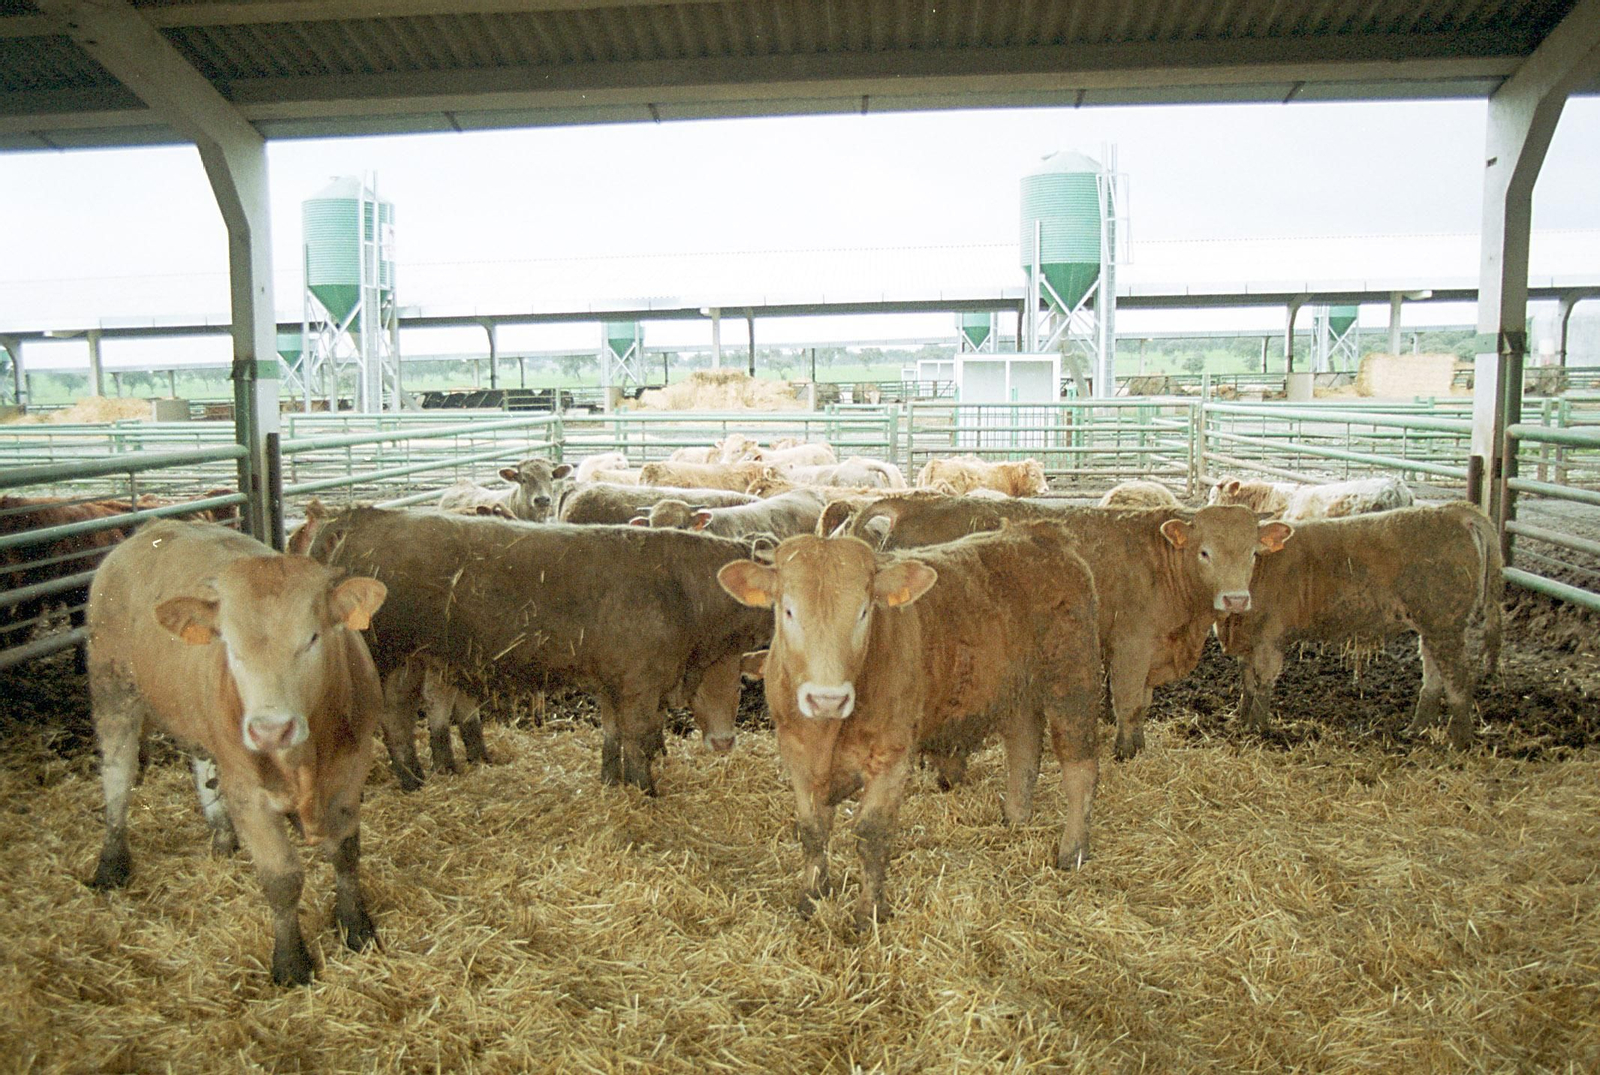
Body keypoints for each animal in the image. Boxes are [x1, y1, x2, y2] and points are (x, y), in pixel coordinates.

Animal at [84, 520, 387, 987]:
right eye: (229, 645)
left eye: (313, 637)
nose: (269, 729)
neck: (304, 761)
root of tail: (151, 530)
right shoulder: (249, 793)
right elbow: (282, 878)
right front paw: (291, 963)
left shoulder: (352, 771)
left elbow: (345, 854)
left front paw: (356, 928)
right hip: (113, 687)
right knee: (117, 776)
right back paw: (111, 864)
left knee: (199, 764)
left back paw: (223, 836)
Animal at [294, 507, 772, 794]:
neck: (681, 589)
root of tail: (350, 518)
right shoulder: (639, 683)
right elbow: (636, 739)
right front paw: (645, 792)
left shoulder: (613, 681)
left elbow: (612, 734)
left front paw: (610, 782)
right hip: (381, 657)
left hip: (409, 660)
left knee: (397, 717)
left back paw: (414, 780)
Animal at [717, 521, 1102, 929]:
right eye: (788, 610)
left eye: (864, 611)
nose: (827, 699)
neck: (828, 733)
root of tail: (1040, 533)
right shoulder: (796, 755)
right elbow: (811, 830)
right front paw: (811, 897)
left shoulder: (891, 755)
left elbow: (872, 834)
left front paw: (869, 911)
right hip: (1017, 691)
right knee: (1024, 751)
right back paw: (1014, 819)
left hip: (1073, 680)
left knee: (1079, 767)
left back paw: (1073, 849)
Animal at [843, 497, 1290, 760]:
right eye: (1205, 552)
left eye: (1253, 554)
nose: (1236, 599)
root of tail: (916, 500)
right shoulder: (1131, 643)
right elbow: (1128, 701)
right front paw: (1125, 751)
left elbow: (1142, 703)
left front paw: (1140, 745)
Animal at [1217, 502, 1502, 748]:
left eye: (1250, 553)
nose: (1233, 596)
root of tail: (1453, 511)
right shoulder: (1248, 640)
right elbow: (1247, 682)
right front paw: (1242, 720)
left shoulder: (1270, 638)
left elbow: (1263, 682)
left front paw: (1257, 728)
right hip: (1431, 627)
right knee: (1433, 676)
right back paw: (1415, 730)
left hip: (1445, 625)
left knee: (1458, 678)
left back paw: (1459, 741)